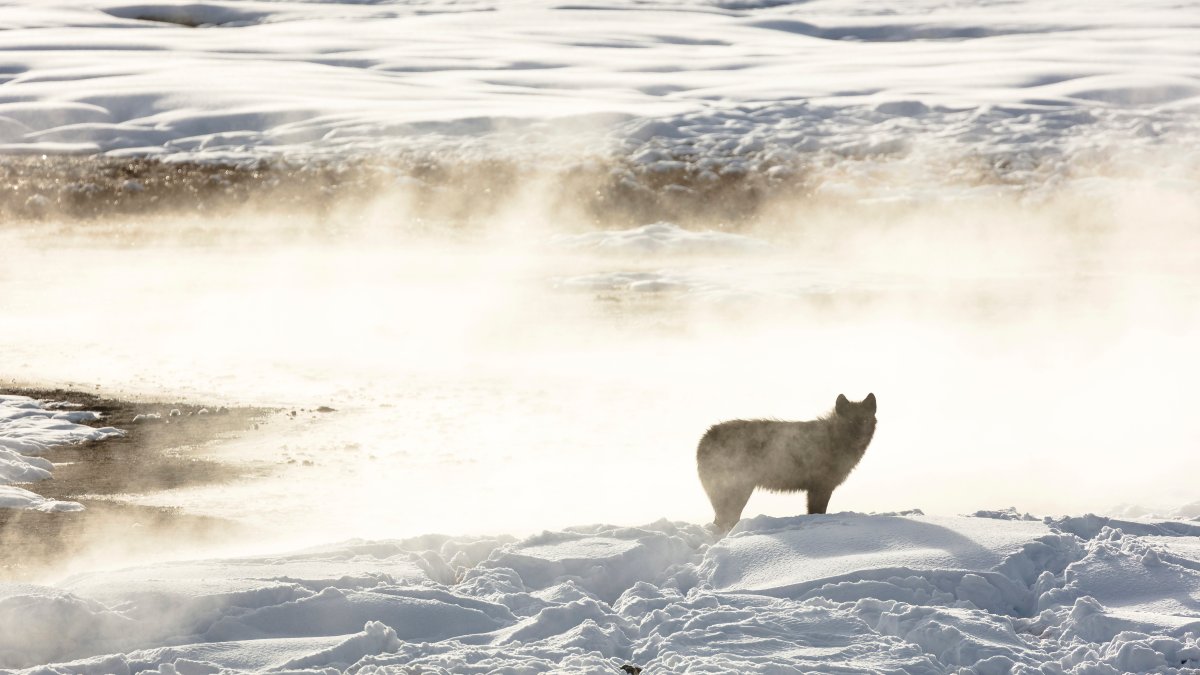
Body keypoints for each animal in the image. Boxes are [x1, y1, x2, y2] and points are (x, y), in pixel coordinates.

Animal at [696, 393, 877, 533]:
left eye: (865, 420)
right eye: (850, 422)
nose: (859, 437)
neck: (834, 439)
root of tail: (704, 439)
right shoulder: (820, 487)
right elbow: (817, 512)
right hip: (737, 491)